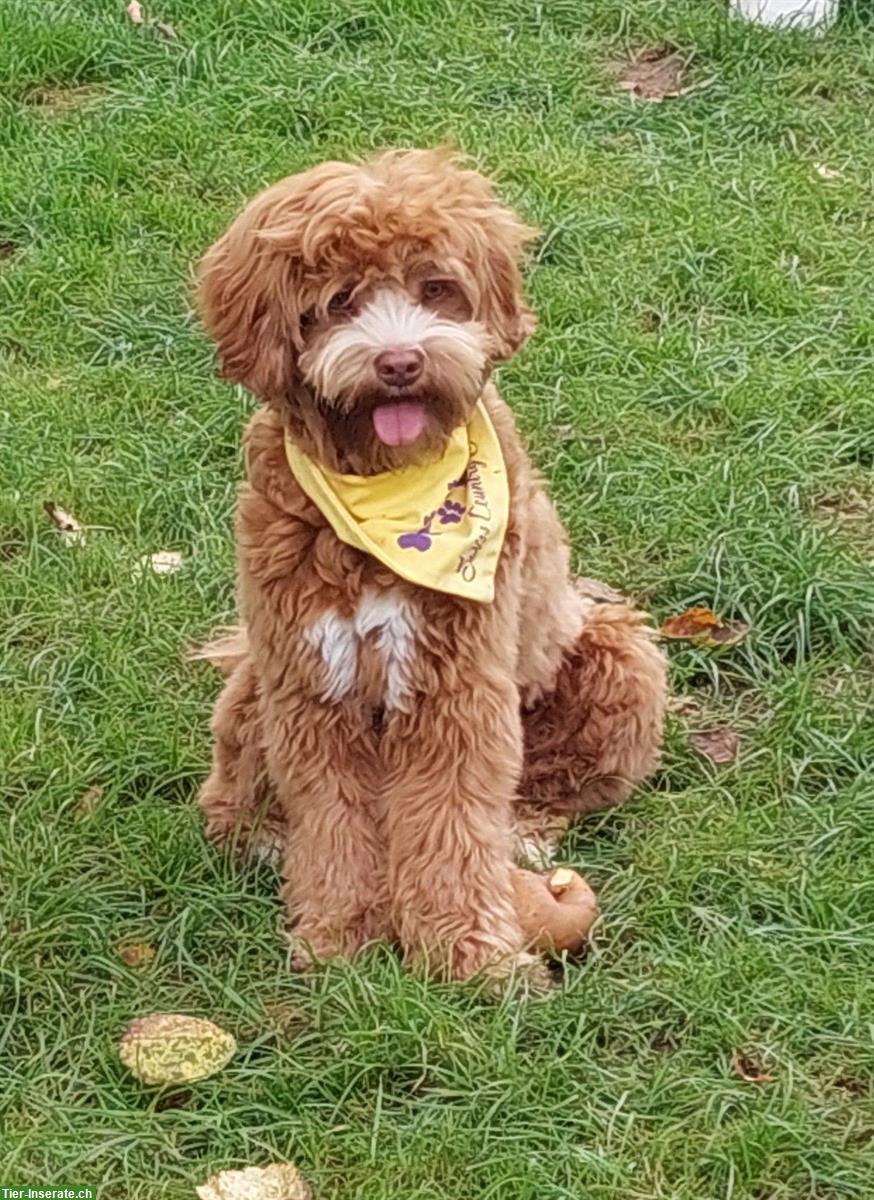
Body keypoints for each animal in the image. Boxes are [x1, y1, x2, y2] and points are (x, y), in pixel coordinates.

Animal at [194, 147, 667, 984]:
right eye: (338, 301)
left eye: (435, 288)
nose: (399, 362)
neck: (387, 487)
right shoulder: (312, 684)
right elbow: (334, 824)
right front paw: (339, 935)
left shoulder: (460, 688)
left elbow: (452, 823)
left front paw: (470, 957)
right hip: (256, 683)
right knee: (227, 800)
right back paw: (262, 838)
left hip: (617, 657)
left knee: (543, 789)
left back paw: (525, 836)